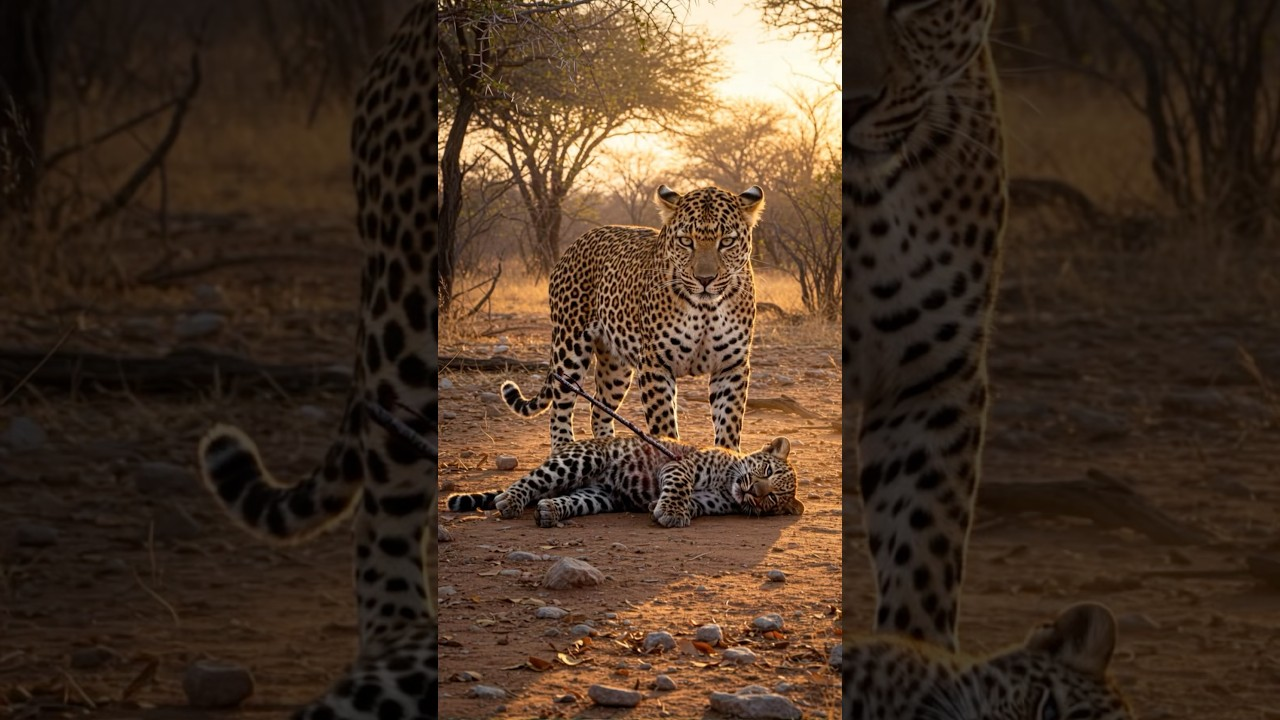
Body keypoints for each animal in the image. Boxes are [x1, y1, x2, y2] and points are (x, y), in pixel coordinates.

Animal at [446, 435, 803, 528]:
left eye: (772, 498)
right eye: (766, 471)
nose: (754, 490)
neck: (727, 484)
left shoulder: (708, 502)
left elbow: (693, 503)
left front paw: (662, 507)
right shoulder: (680, 464)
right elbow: (680, 486)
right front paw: (671, 510)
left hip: (599, 495)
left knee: (569, 499)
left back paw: (550, 511)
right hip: (582, 458)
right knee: (530, 480)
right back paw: (511, 500)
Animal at [500, 184, 765, 452]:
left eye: (727, 242)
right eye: (686, 241)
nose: (705, 279)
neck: (705, 310)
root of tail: (579, 241)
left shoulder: (731, 365)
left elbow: (728, 425)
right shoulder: (655, 363)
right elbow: (664, 427)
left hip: (615, 364)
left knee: (599, 409)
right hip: (569, 346)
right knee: (560, 406)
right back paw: (564, 448)